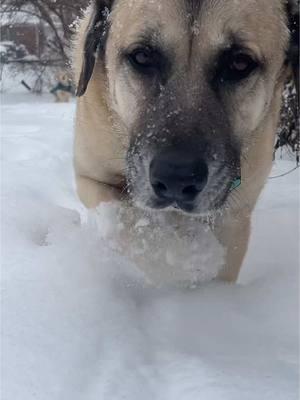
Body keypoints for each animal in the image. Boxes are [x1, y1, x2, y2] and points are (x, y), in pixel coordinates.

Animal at [72, 0, 298, 282]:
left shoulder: (235, 214)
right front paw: (185, 259)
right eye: (142, 56)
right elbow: (136, 231)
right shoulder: (92, 179)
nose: (176, 177)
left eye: (239, 63)